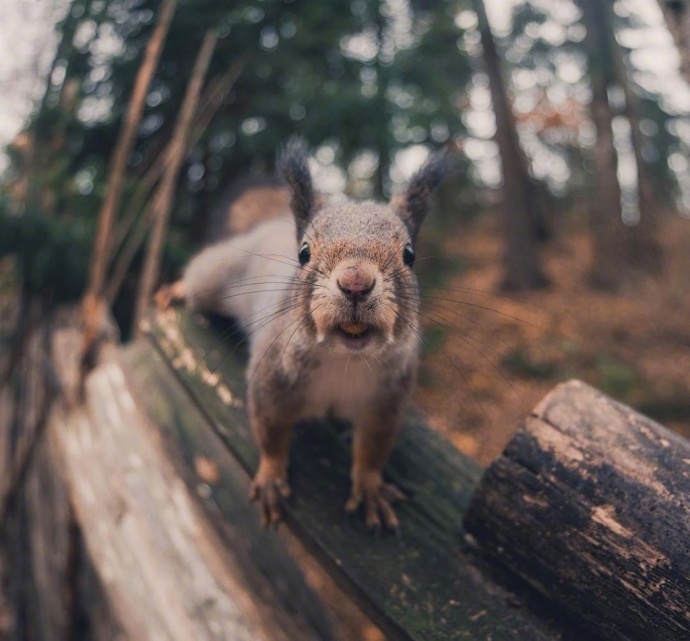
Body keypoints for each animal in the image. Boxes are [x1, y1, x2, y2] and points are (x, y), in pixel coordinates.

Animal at [155, 140, 446, 528]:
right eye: (304, 252)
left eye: (409, 254)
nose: (355, 283)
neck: (343, 358)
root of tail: (269, 225)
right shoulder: (271, 378)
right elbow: (271, 431)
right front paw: (270, 477)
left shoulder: (387, 400)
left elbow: (373, 447)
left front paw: (370, 487)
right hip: (213, 277)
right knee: (197, 277)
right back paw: (174, 289)